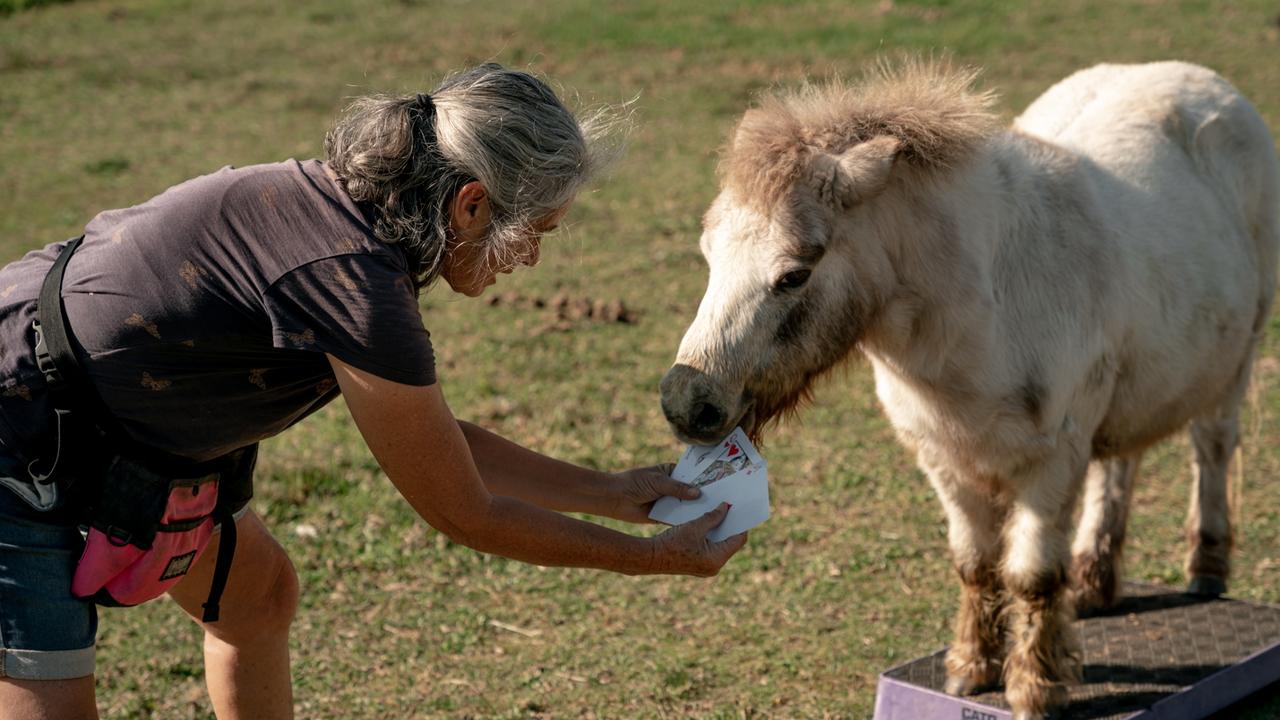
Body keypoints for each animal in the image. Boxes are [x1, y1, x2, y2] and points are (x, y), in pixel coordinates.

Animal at [660, 63, 1280, 717]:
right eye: (708, 255)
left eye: (794, 275)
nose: (686, 403)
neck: (982, 308)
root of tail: (1197, 79)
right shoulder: (944, 460)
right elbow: (975, 564)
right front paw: (971, 668)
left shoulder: (1052, 462)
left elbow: (1031, 576)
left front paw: (1034, 686)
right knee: (1121, 464)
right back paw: (1094, 580)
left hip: (1235, 364)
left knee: (1212, 448)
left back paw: (1206, 567)